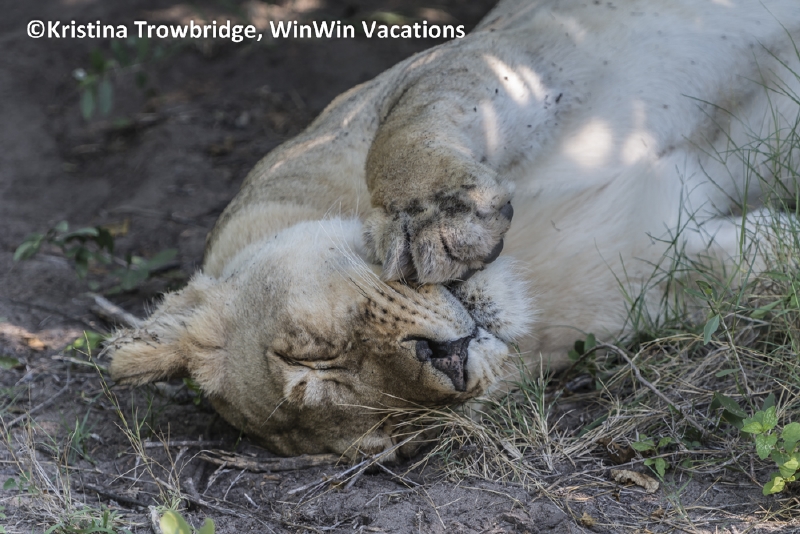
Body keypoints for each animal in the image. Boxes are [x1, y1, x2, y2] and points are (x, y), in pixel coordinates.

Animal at [107, 0, 800, 458]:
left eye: (311, 351)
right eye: (403, 432)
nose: (450, 359)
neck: (531, 261)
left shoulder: (476, 59)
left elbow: (403, 132)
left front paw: (440, 221)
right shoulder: (672, 256)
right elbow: (759, 263)